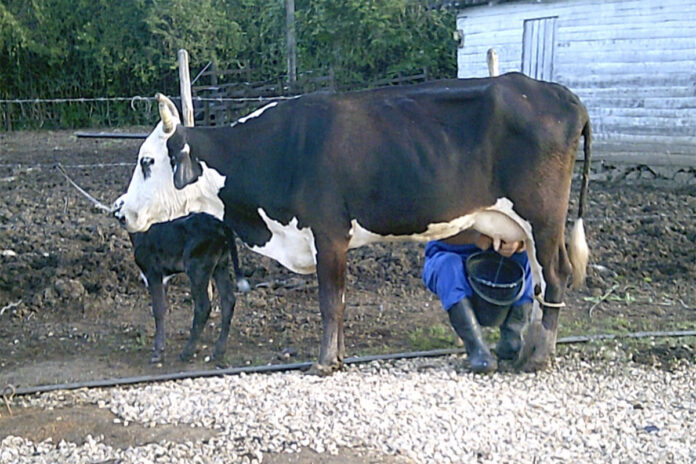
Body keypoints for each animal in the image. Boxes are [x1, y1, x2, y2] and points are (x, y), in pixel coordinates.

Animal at [114, 73, 592, 376]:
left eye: (147, 161)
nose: (120, 210)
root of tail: (557, 93)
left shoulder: (328, 233)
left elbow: (330, 302)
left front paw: (324, 363)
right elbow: (339, 304)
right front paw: (339, 357)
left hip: (543, 218)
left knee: (555, 277)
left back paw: (538, 358)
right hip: (524, 228)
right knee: (537, 283)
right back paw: (526, 352)